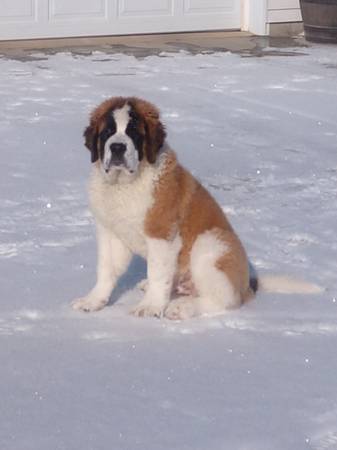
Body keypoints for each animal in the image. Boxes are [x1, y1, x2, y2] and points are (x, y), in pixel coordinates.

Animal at [72, 96, 322, 318]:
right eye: (107, 132)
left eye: (133, 132)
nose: (117, 148)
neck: (124, 185)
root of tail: (246, 284)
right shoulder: (110, 232)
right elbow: (106, 270)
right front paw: (93, 301)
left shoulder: (161, 235)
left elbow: (157, 272)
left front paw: (150, 307)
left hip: (210, 243)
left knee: (224, 299)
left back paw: (181, 308)